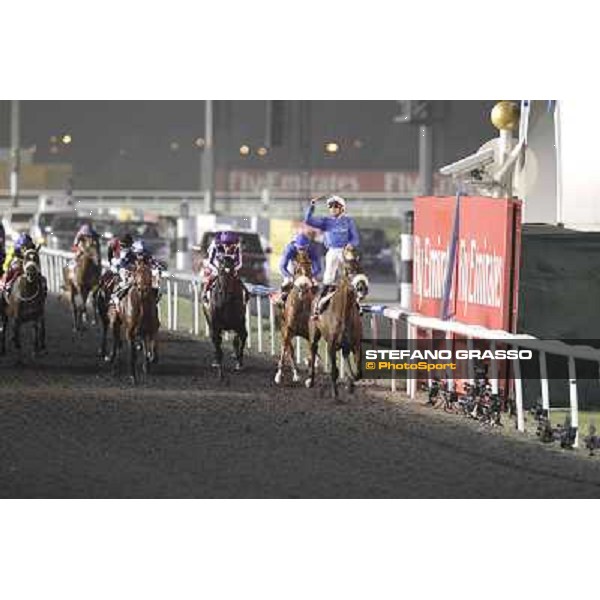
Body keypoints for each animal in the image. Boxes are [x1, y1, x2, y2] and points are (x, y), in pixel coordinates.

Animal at [274, 247, 316, 384]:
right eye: (297, 270)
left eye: (309, 268)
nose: (303, 285)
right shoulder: (288, 329)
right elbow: (285, 350)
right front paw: (279, 375)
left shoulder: (309, 332)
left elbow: (311, 354)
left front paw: (309, 378)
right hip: (284, 329)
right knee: (288, 349)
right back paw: (294, 373)